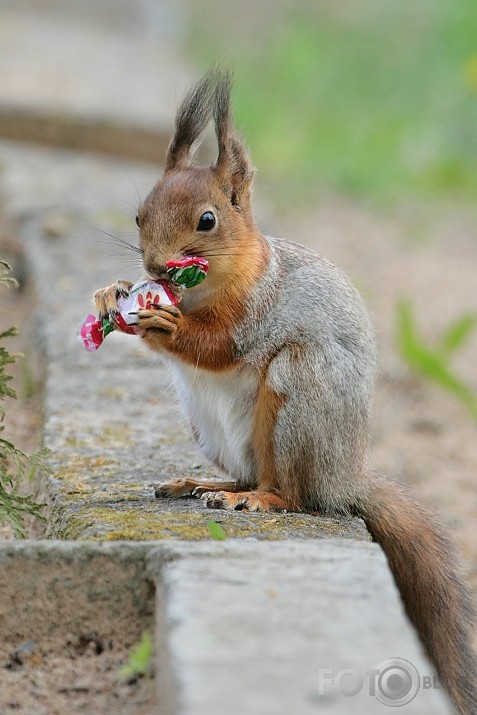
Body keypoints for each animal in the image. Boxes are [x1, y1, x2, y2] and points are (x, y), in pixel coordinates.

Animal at [94, 68, 476, 715]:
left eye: (207, 220)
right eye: (141, 215)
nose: (156, 267)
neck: (207, 287)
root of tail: (345, 477)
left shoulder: (256, 312)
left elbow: (216, 346)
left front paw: (164, 324)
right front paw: (112, 293)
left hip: (297, 398)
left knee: (294, 493)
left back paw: (259, 501)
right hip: (212, 428)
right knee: (249, 472)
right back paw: (207, 485)